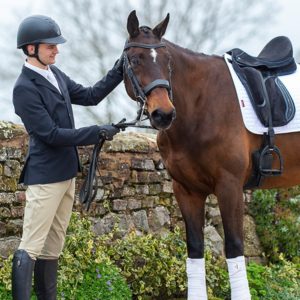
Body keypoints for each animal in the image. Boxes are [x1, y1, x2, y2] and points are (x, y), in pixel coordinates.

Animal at [122, 10, 300, 298]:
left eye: (168, 62)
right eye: (134, 59)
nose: (164, 114)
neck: (200, 106)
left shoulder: (230, 186)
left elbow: (235, 248)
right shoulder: (187, 191)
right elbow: (195, 250)